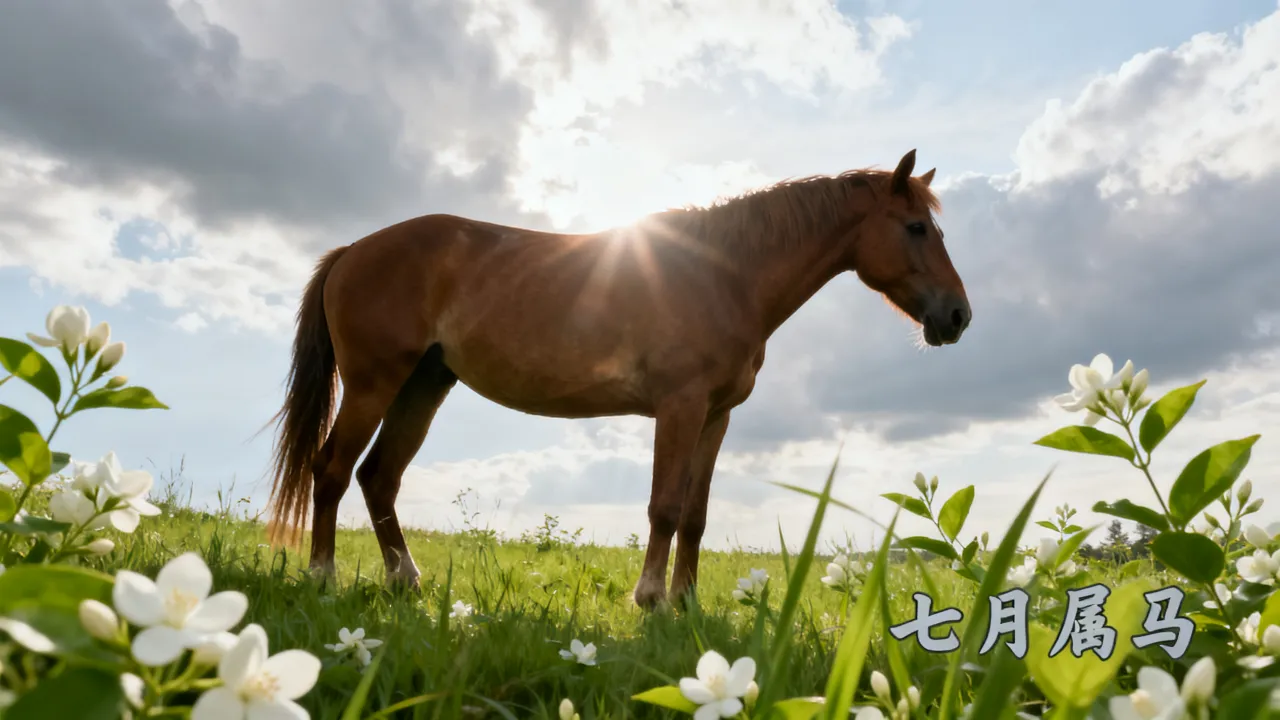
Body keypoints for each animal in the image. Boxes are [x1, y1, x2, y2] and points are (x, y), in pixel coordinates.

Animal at [264, 149, 971, 610]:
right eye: (916, 227)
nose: (958, 316)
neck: (725, 275)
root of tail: (351, 252)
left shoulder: (717, 416)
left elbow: (696, 515)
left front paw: (687, 606)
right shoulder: (680, 408)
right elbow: (664, 507)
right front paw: (651, 598)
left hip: (423, 386)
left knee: (378, 477)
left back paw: (404, 583)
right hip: (373, 385)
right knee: (332, 471)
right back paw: (323, 579)